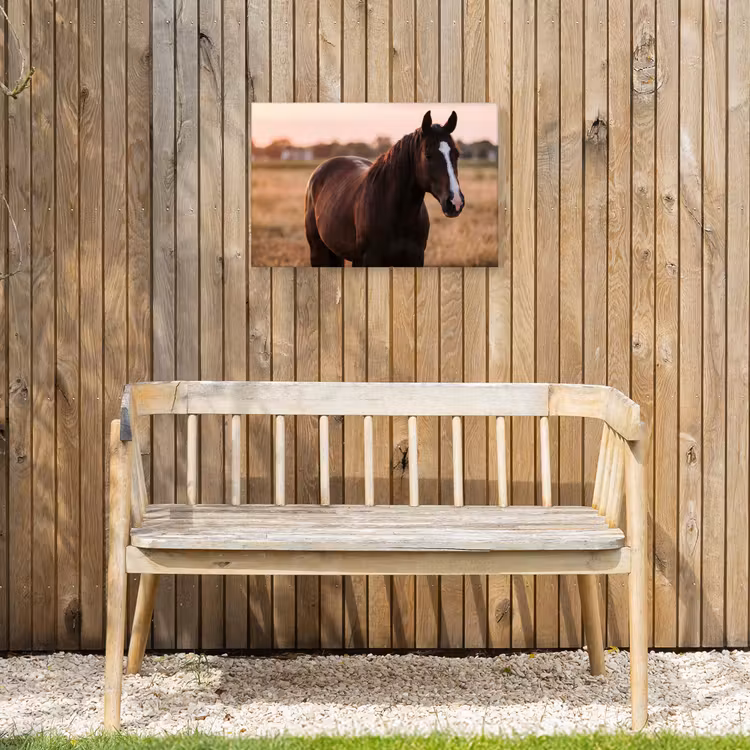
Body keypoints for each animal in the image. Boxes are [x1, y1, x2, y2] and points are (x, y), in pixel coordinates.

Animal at [304, 110, 465, 267]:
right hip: (319, 251)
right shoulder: (369, 260)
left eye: (456, 154)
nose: (455, 202)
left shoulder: (415, 259)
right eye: (428, 155)